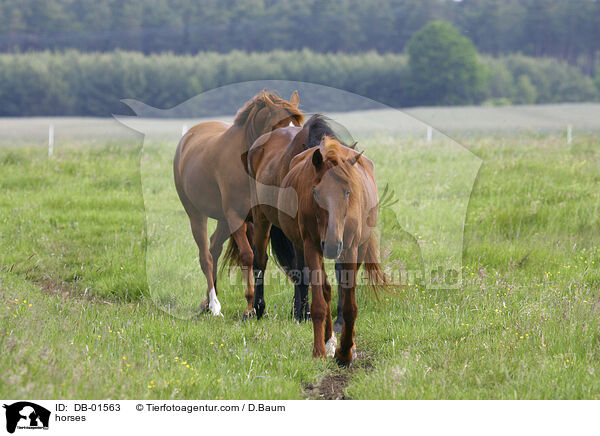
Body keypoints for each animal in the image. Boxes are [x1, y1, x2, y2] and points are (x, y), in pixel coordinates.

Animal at [173, 90, 304, 318]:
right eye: (278, 128)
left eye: (298, 128)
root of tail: (187, 138)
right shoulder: (236, 217)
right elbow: (247, 256)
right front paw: (250, 307)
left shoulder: (260, 219)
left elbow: (261, 258)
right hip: (197, 215)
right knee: (205, 256)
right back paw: (214, 304)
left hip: (224, 221)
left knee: (214, 248)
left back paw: (207, 301)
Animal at [247, 136, 384, 364]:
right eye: (315, 192)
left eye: (348, 191)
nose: (331, 245)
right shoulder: (311, 246)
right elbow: (319, 302)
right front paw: (320, 350)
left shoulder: (350, 248)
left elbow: (349, 304)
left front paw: (346, 351)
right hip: (278, 229)